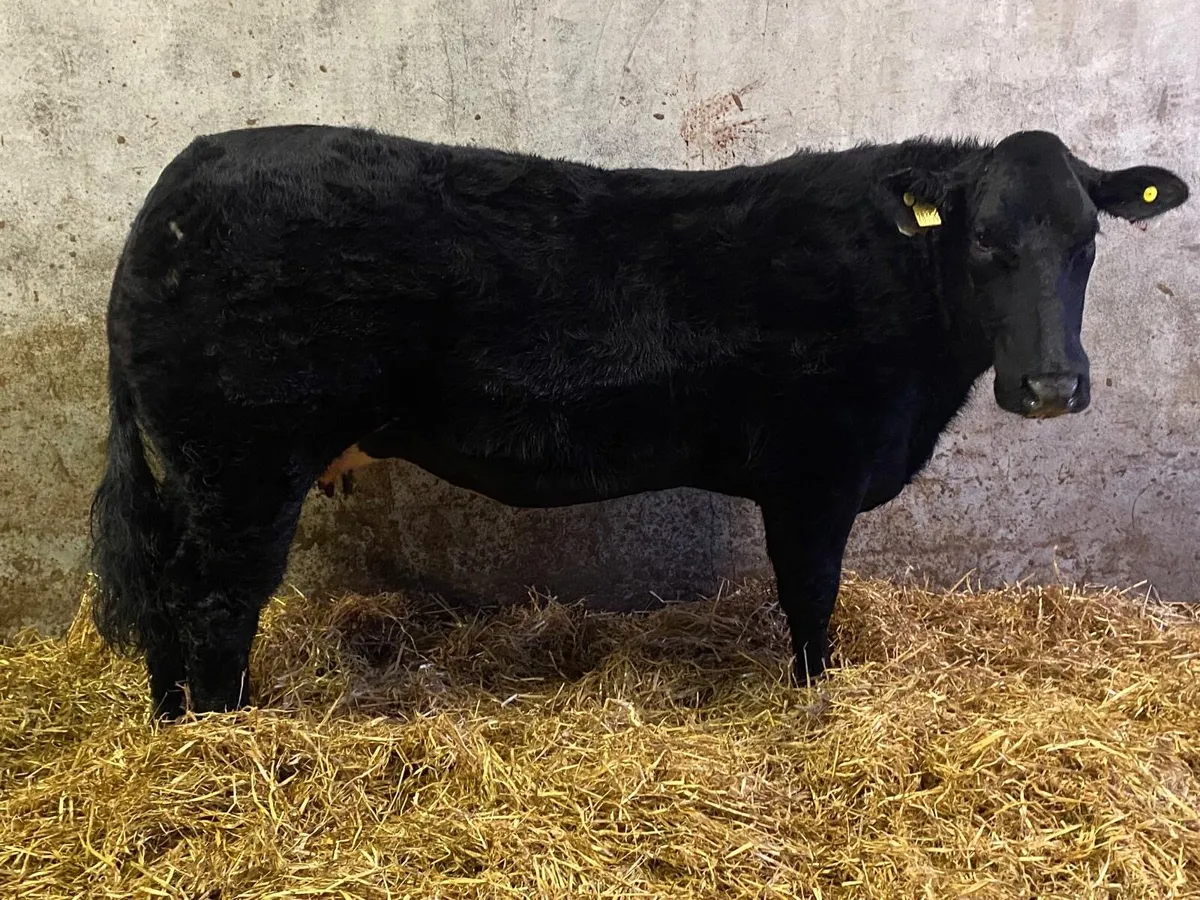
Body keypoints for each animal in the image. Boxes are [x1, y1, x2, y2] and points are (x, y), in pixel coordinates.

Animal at [88, 124, 1189, 719]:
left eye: (1087, 242)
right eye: (986, 243)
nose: (1052, 386)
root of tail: (185, 175)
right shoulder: (816, 473)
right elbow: (811, 603)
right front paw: (814, 704)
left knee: (167, 594)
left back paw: (174, 726)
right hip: (240, 459)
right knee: (211, 602)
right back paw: (226, 737)